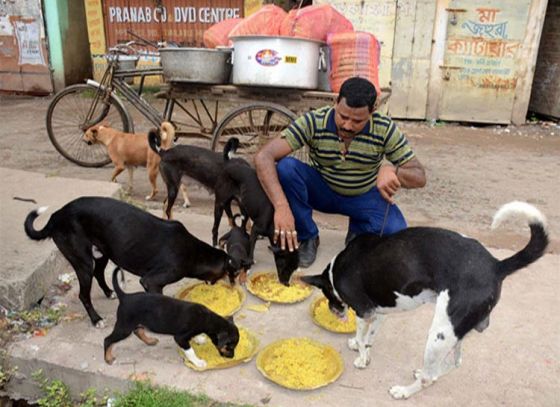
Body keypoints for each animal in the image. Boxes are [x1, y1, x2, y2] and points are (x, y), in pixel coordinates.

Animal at [24, 198, 240, 328]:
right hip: (83, 262)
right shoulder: (152, 281)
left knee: (99, 273)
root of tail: (57, 215)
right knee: (84, 295)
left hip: (103, 253)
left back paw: (109, 292)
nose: (231, 286)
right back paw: (96, 320)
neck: (194, 252)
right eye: (226, 273)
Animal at [104, 266, 240, 368]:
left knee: (138, 331)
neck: (207, 318)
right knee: (107, 340)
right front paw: (199, 362)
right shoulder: (180, 338)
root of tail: (125, 296)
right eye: (229, 347)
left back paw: (150, 341)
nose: (232, 357)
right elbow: (190, 351)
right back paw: (108, 359)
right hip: (124, 327)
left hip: (137, 323)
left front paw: (199, 339)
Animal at [211, 147, 300, 286]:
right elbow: (250, 252)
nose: (287, 284)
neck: (273, 220)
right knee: (215, 228)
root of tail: (228, 164)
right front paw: (246, 271)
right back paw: (215, 244)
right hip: (219, 204)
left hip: (244, 208)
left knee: (240, 225)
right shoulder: (255, 230)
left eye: (294, 268)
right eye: (284, 266)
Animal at [302, 202, 548, 400]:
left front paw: (361, 357)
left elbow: (363, 338)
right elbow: (369, 336)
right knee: (453, 363)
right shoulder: (379, 312)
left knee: (429, 377)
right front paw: (361, 347)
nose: (334, 311)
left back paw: (403, 391)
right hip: (457, 332)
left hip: (440, 334)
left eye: (327, 296)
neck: (336, 270)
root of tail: (497, 265)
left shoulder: (364, 311)